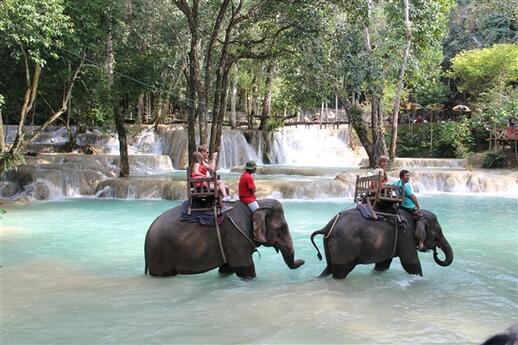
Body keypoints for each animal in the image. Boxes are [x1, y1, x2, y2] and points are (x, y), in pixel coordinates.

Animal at [143, 198, 304, 278]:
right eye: (281, 229)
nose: (303, 261)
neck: (257, 204)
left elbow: (228, 268)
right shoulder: (235, 236)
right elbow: (245, 269)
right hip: (161, 254)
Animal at [310, 207, 452, 276]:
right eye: (437, 236)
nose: (436, 253)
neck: (415, 215)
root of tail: (328, 226)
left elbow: (383, 264)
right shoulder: (406, 236)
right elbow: (410, 263)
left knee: (329, 268)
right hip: (344, 246)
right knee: (341, 271)